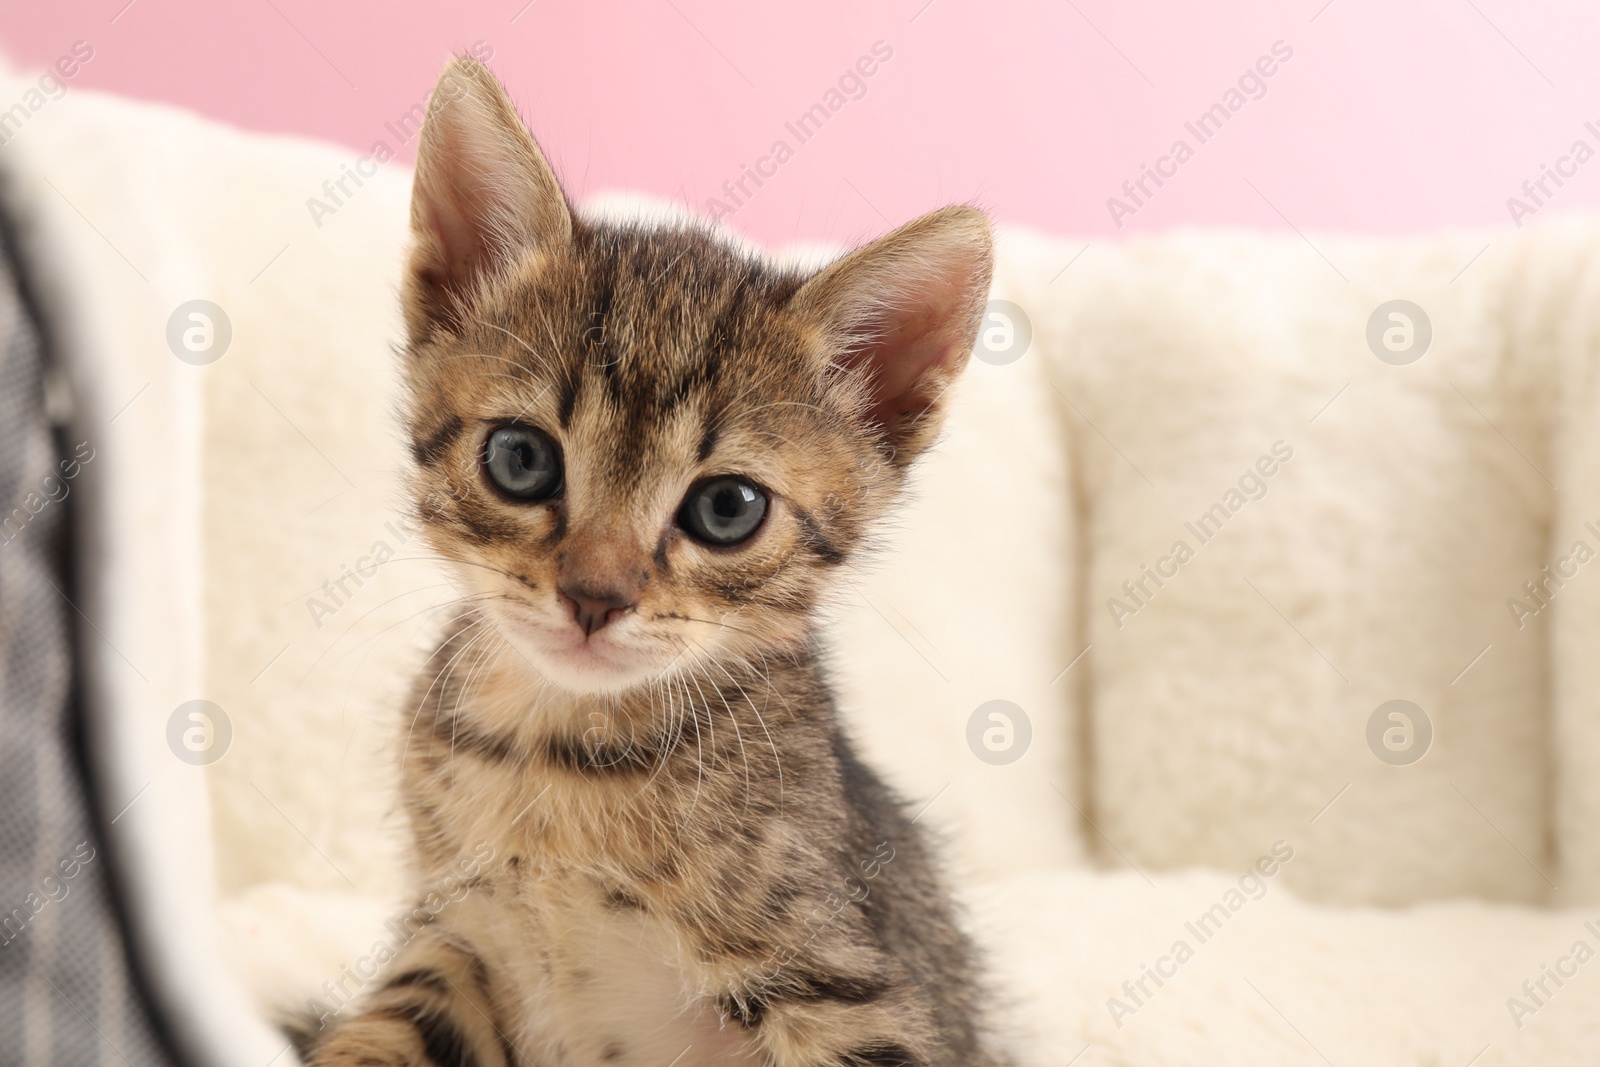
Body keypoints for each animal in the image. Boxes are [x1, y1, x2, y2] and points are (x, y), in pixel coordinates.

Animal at [305, 56, 992, 1067]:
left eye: (727, 508)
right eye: (521, 458)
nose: (595, 595)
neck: (556, 760)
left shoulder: (850, 989)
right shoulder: (454, 931)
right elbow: (371, 1032)